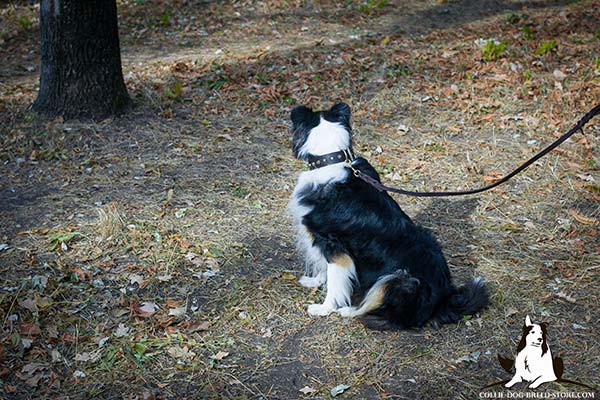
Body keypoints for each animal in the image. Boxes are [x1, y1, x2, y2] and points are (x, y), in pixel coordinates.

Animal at [288, 101, 490, 330]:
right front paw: (313, 281)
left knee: (391, 317)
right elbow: (324, 268)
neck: (330, 159)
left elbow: (335, 279)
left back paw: (350, 311)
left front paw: (324, 308)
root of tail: (443, 301)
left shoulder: (334, 245)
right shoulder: (323, 243)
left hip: (399, 280)